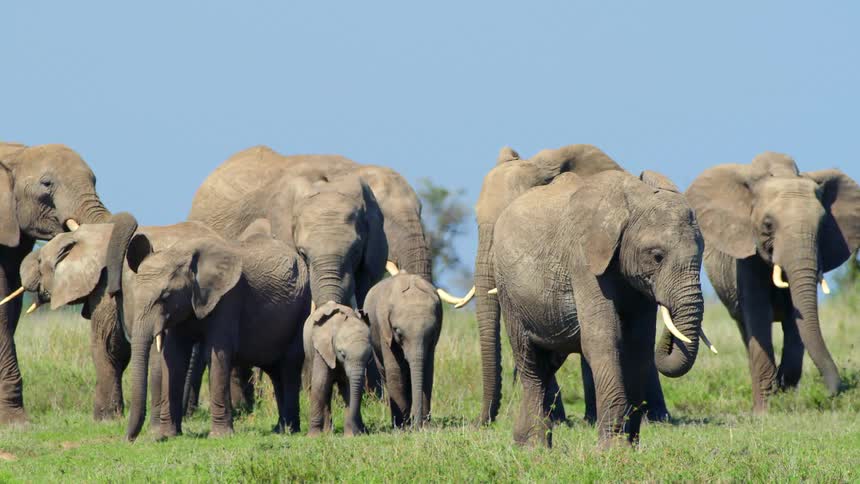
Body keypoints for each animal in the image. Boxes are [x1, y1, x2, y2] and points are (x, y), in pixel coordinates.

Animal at [304, 302, 372, 436]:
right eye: (342, 354)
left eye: (369, 356)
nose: (358, 432)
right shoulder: (322, 349)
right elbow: (319, 384)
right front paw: (313, 436)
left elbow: (348, 388)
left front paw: (350, 436)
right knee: (326, 388)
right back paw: (327, 432)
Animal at [364, 272, 442, 428]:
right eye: (398, 333)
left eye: (432, 332)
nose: (417, 425)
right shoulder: (385, 330)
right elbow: (395, 370)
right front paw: (401, 427)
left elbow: (427, 370)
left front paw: (424, 426)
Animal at [492, 169, 706, 447]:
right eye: (657, 256)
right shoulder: (583, 259)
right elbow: (603, 339)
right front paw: (612, 449)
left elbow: (638, 345)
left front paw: (630, 446)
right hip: (507, 290)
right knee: (530, 363)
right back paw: (533, 448)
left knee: (548, 364)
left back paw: (525, 441)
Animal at [686, 153, 860, 412]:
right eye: (768, 225)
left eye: (822, 226)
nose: (832, 391)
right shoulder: (746, 257)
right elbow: (759, 315)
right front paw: (765, 411)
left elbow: (796, 318)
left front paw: (784, 393)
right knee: (745, 329)